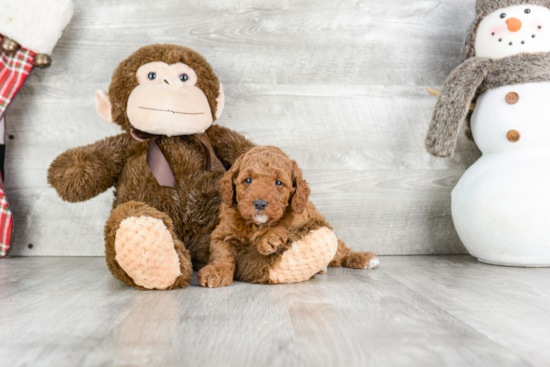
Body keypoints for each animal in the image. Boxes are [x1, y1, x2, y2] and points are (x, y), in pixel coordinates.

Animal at [198, 146, 380, 288]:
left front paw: (270, 239)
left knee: (341, 251)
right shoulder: (222, 233)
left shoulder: (300, 217)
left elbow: (285, 224)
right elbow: (222, 254)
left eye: (278, 183)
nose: (260, 204)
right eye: (247, 180)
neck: (257, 226)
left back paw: (365, 258)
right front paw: (216, 272)